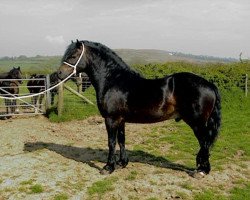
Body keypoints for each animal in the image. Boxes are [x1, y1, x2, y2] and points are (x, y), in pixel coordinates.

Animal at [57, 39, 221, 176]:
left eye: (73, 56)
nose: (59, 74)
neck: (113, 81)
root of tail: (210, 85)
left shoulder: (111, 119)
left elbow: (111, 142)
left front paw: (108, 167)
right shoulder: (120, 120)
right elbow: (121, 140)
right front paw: (122, 163)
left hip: (197, 124)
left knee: (204, 143)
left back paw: (201, 171)